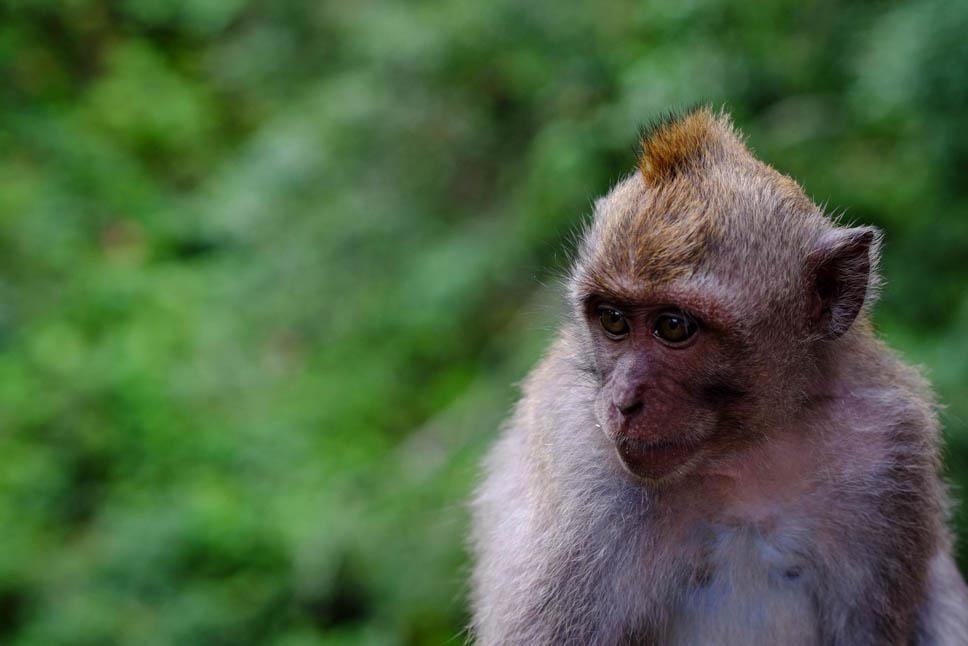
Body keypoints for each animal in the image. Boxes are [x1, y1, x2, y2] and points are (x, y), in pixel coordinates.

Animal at [468, 106, 968, 645]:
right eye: (614, 320)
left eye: (673, 327)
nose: (622, 401)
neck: (742, 452)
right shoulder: (585, 469)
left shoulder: (889, 454)